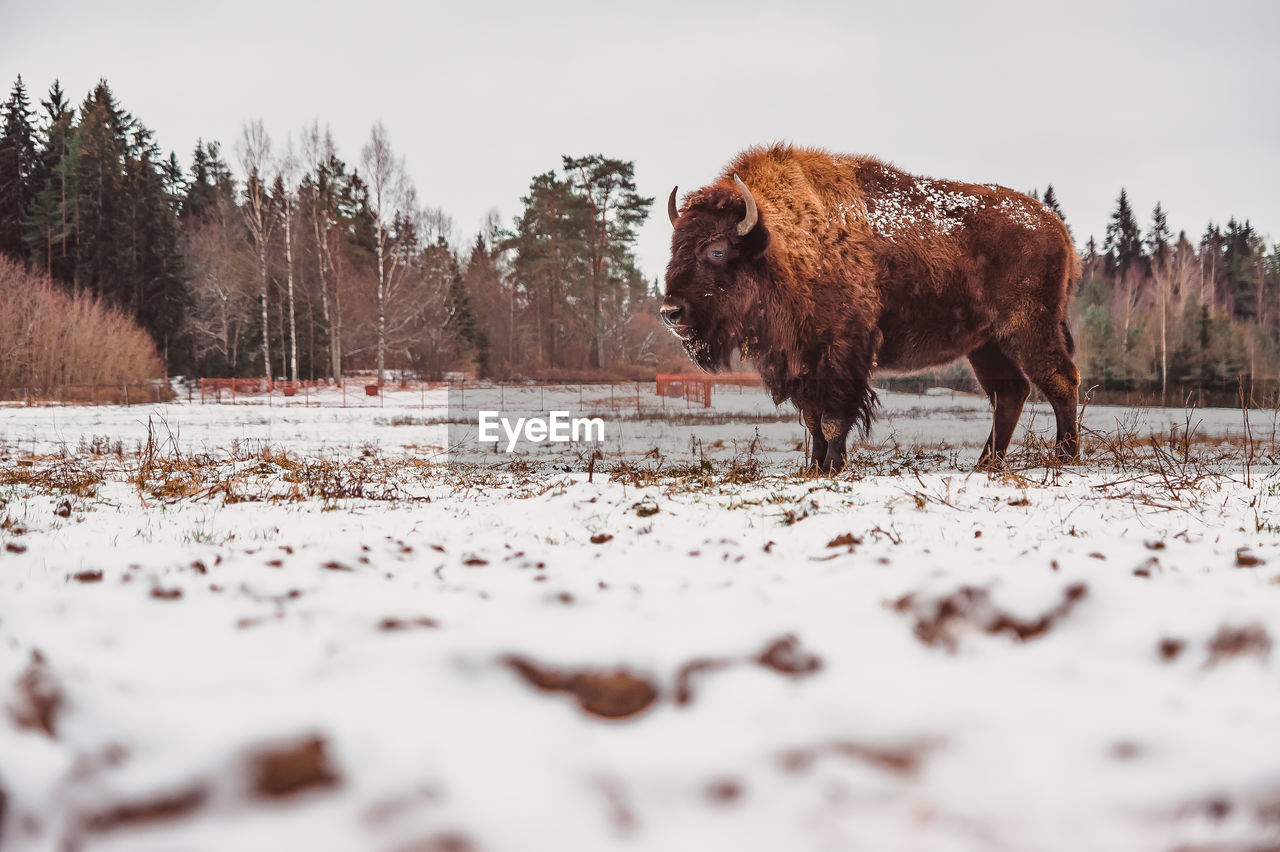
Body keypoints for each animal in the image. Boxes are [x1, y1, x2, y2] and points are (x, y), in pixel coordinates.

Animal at [660, 142, 1080, 468]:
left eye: (717, 250)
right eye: (675, 248)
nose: (670, 312)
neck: (783, 244)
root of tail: (1056, 225)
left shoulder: (842, 354)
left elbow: (833, 419)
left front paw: (832, 467)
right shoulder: (803, 363)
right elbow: (813, 421)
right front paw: (815, 467)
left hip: (1028, 327)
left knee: (1060, 380)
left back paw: (1065, 456)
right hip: (986, 343)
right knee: (1011, 392)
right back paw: (986, 463)